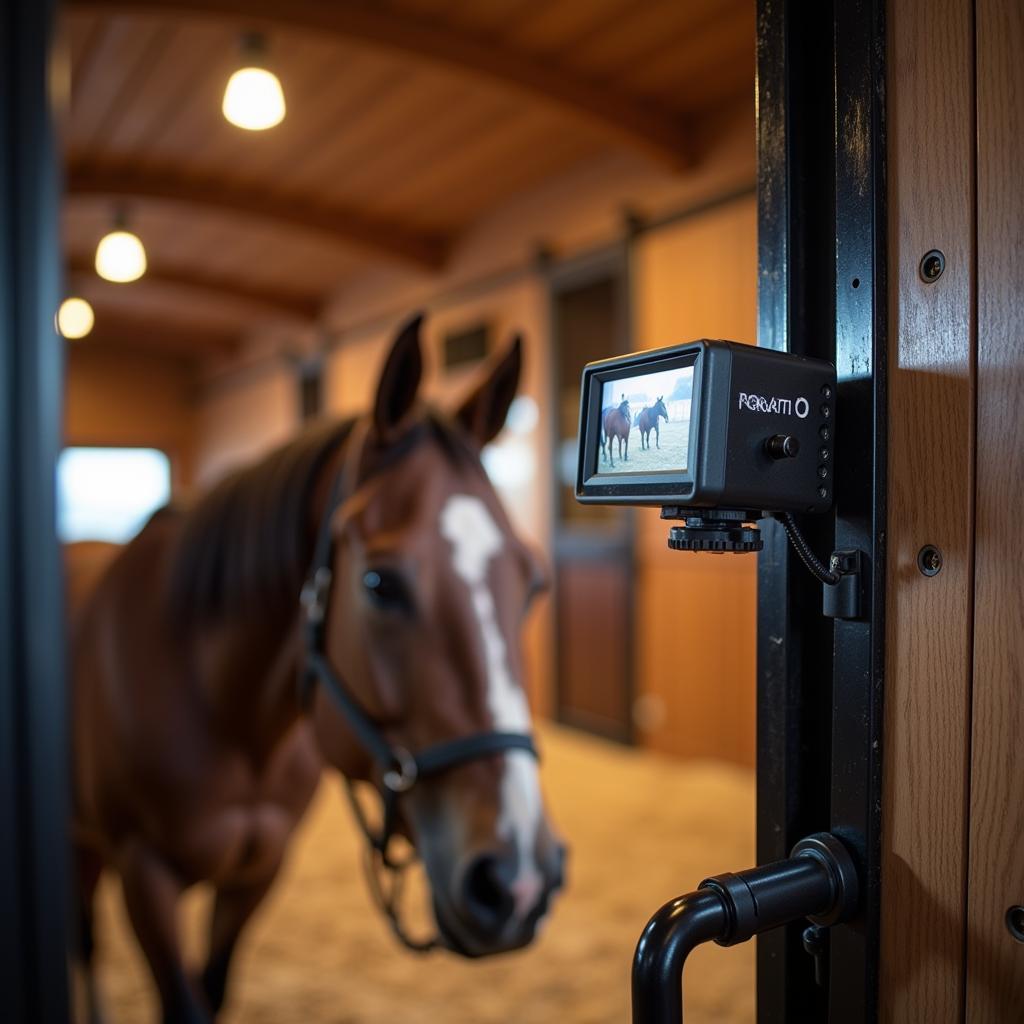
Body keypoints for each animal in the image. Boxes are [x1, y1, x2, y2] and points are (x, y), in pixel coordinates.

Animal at [70, 313, 569, 1024]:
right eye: (379, 584)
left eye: (533, 584)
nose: (519, 881)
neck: (226, 713)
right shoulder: (144, 875)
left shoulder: (258, 871)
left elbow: (213, 988)